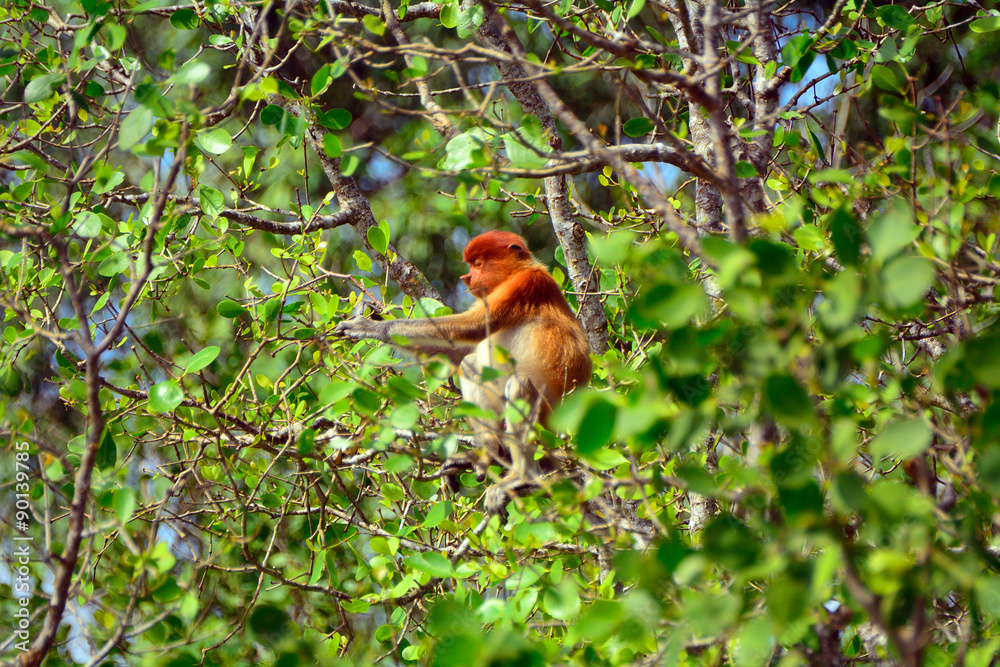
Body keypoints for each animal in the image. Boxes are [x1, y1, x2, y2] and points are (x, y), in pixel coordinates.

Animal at [334, 230, 592, 517]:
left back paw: (521, 477)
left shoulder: (524, 284)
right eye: (471, 265)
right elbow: (458, 350)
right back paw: (487, 452)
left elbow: (472, 326)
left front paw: (371, 327)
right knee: (471, 364)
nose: (466, 278)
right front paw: (373, 314)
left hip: (548, 422)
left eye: (478, 263)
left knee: (517, 383)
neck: (517, 271)